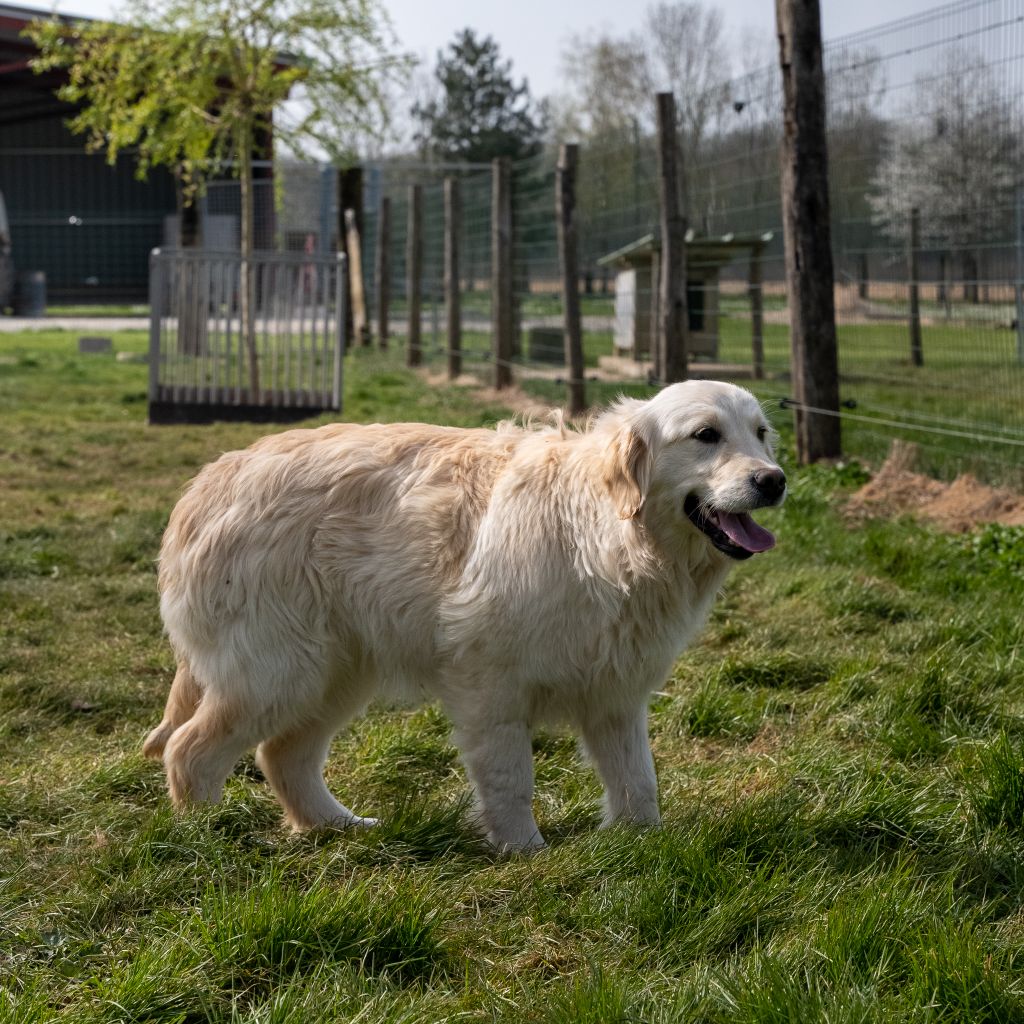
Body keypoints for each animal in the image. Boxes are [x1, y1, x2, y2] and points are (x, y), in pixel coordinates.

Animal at [144, 380, 782, 851]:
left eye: (761, 434)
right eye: (705, 435)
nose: (774, 480)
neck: (604, 530)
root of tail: (207, 483)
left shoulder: (615, 692)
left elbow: (637, 780)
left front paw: (643, 844)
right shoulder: (489, 685)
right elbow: (511, 778)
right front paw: (527, 852)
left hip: (334, 673)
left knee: (282, 756)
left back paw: (338, 826)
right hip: (276, 672)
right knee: (190, 752)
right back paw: (207, 840)